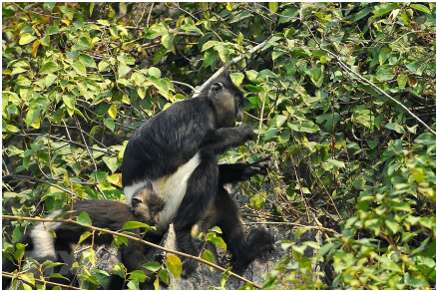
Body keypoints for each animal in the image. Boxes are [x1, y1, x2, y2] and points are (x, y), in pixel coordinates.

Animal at [122, 70, 272, 276]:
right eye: (238, 102)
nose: (240, 114)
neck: (208, 103)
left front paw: (251, 168)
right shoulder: (198, 112)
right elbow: (188, 148)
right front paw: (245, 131)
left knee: (218, 193)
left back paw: (244, 254)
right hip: (164, 201)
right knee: (206, 161)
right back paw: (184, 234)